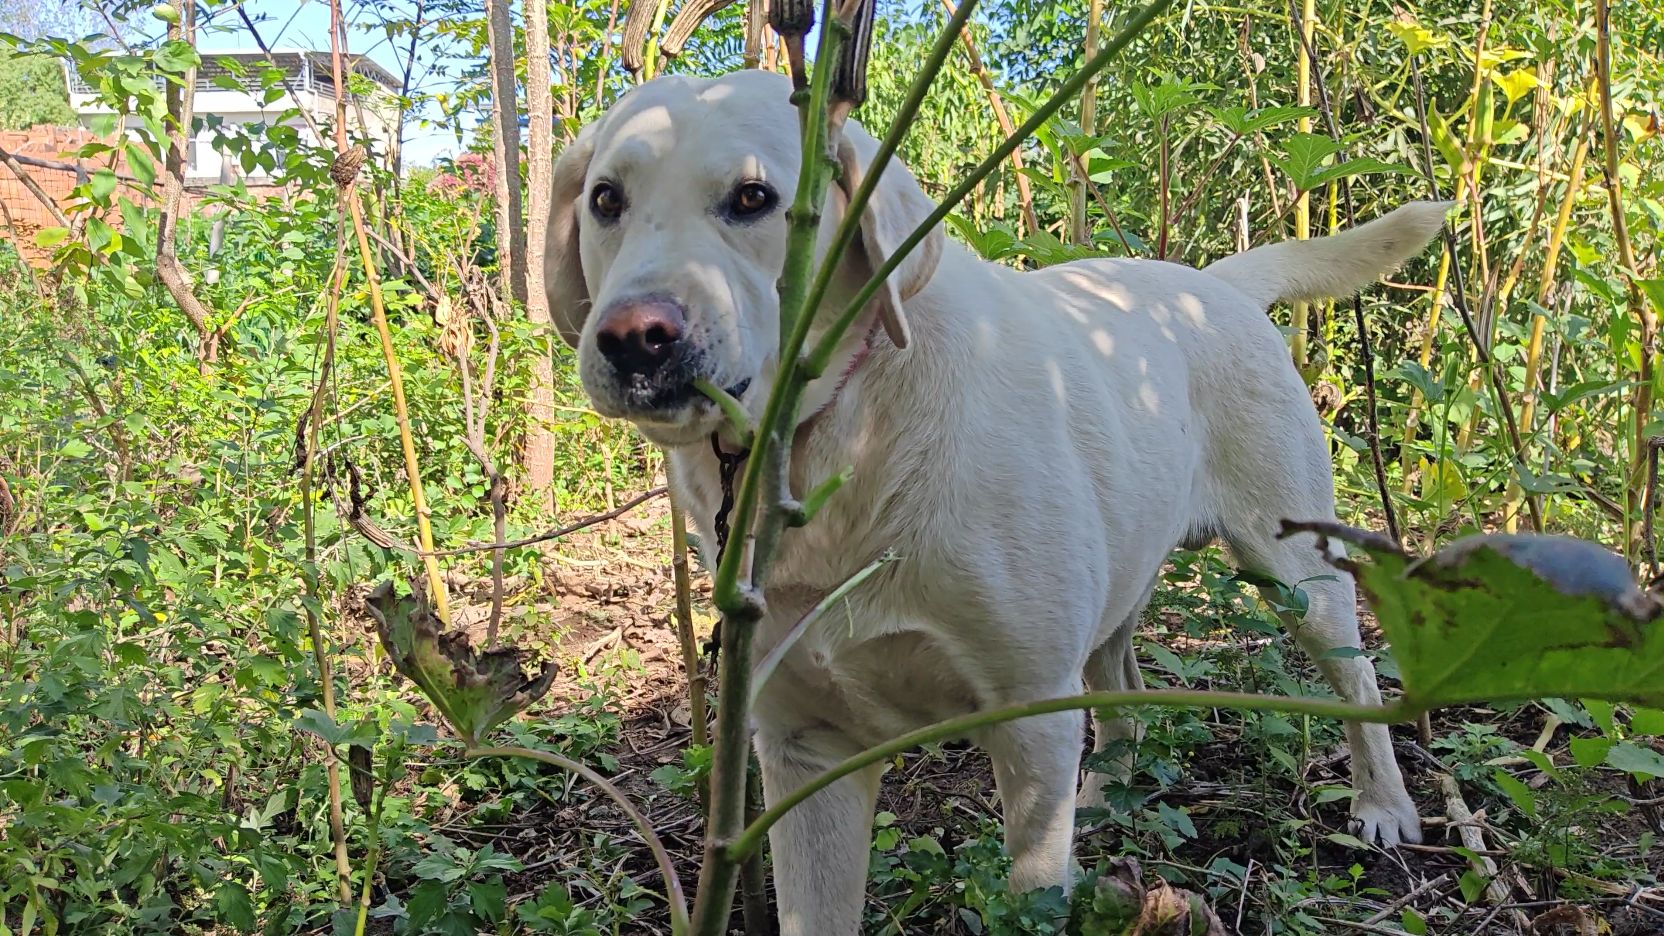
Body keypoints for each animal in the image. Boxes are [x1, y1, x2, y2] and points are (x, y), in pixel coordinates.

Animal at [549, 69, 1444, 926]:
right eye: (606, 200)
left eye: (753, 199)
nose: (633, 338)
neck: (841, 439)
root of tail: (1215, 284)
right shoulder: (803, 747)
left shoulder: (1029, 713)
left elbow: (1030, 890)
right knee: (1122, 687)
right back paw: (1107, 798)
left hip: (1293, 570)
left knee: (1359, 680)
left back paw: (1383, 805)